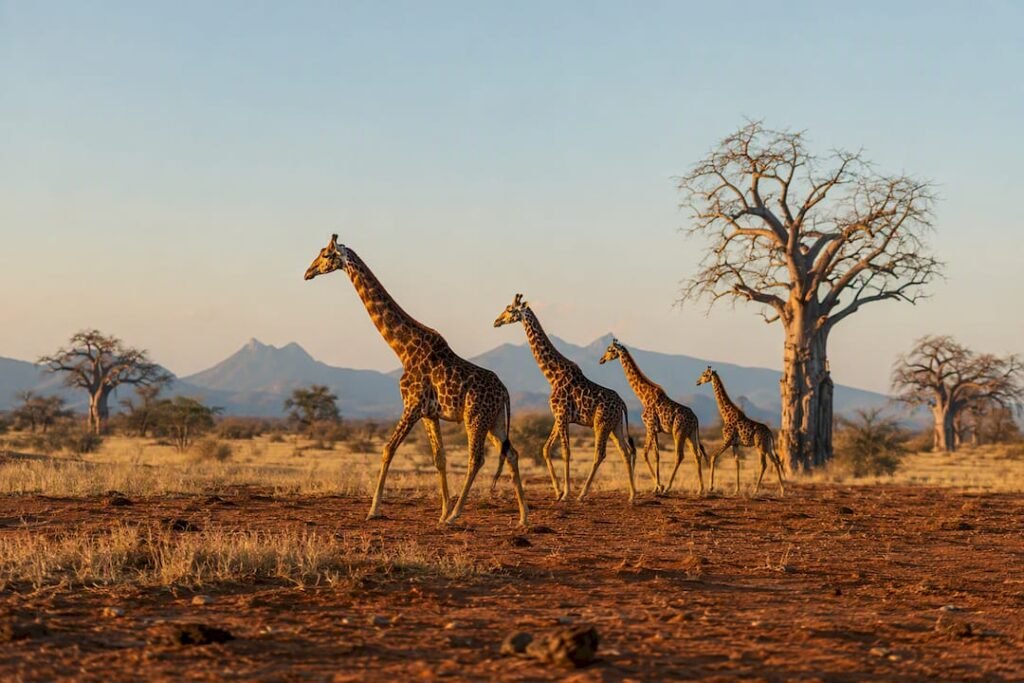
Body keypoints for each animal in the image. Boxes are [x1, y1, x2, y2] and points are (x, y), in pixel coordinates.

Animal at [304, 235, 529, 526]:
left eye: (326, 255)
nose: (308, 272)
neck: (402, 349)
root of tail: (505, 392)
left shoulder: (411, 405)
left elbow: (387, 449)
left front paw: (374, 510)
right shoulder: (429, 413)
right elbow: (439, 458)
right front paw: (441, 511)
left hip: (476, 417)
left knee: (476, 459)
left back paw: (456, 515)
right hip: (496, 420)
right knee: (511, 453)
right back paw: (523, 517)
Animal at [492, 294, 638, 502]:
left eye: (510, 310)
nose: (496, 321)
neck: (553, 375)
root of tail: (623, 404)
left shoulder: (561, 414)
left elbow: (565, 451)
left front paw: (566, 493)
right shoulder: (559, 417)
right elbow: (546, 448)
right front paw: (558, 491)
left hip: (601, 424)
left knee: (600, 454)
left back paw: (582, 494)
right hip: (615, 425)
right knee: (625, 451)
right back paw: (632, 494)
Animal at [599, 339, 708, 495]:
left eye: (609, 350)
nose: (601, 360)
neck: (643, 396)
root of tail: (696, 419)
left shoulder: (649, 426)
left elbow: (645, 453)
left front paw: (659, 486)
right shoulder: (655, 429)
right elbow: (656, 455)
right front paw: (656, 486)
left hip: (678, 432)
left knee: (679, 455)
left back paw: (668, 488)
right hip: (690, 434)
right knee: (697, 454)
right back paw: (700, 489)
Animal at [696, 366, 785, 496]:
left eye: (704, 374)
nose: (697, 382)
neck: (726, 415)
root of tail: (770, 434)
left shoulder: (727, 440)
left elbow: (713, 456)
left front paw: (711, 487)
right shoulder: (735, 443)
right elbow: (737, 463)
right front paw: (736, 490)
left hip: (760, 446)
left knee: (764, 464)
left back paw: (755, 490)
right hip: (768, 447)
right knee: (775, 462)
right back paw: (783, 490)